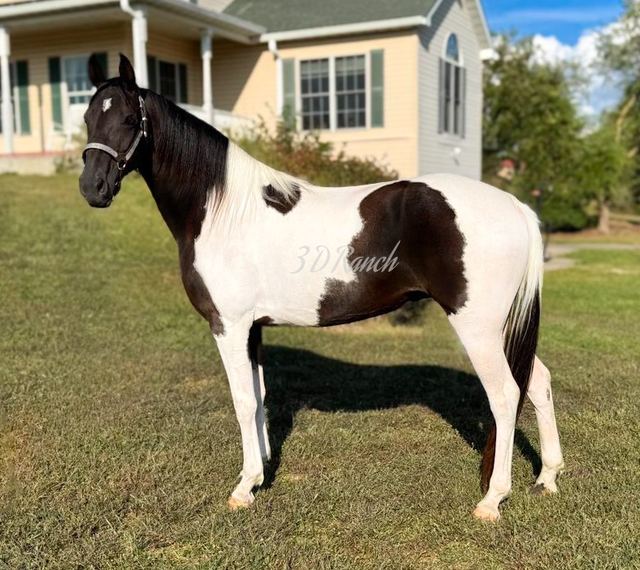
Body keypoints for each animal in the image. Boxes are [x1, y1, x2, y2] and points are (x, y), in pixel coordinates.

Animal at [79, 54, 564, 522]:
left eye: (128, 119)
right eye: (87, 117)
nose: (92, 188)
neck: (222, 210)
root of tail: (514, 204)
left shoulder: (228, 325)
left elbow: (241, 399)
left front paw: (243, 488)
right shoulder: (253, 328)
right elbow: (259, 395)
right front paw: (261, 471)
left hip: (478, 326)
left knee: (505, 394)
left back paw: (493, 500)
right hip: (502, 327)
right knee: (537, 381)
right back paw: (548, 477)